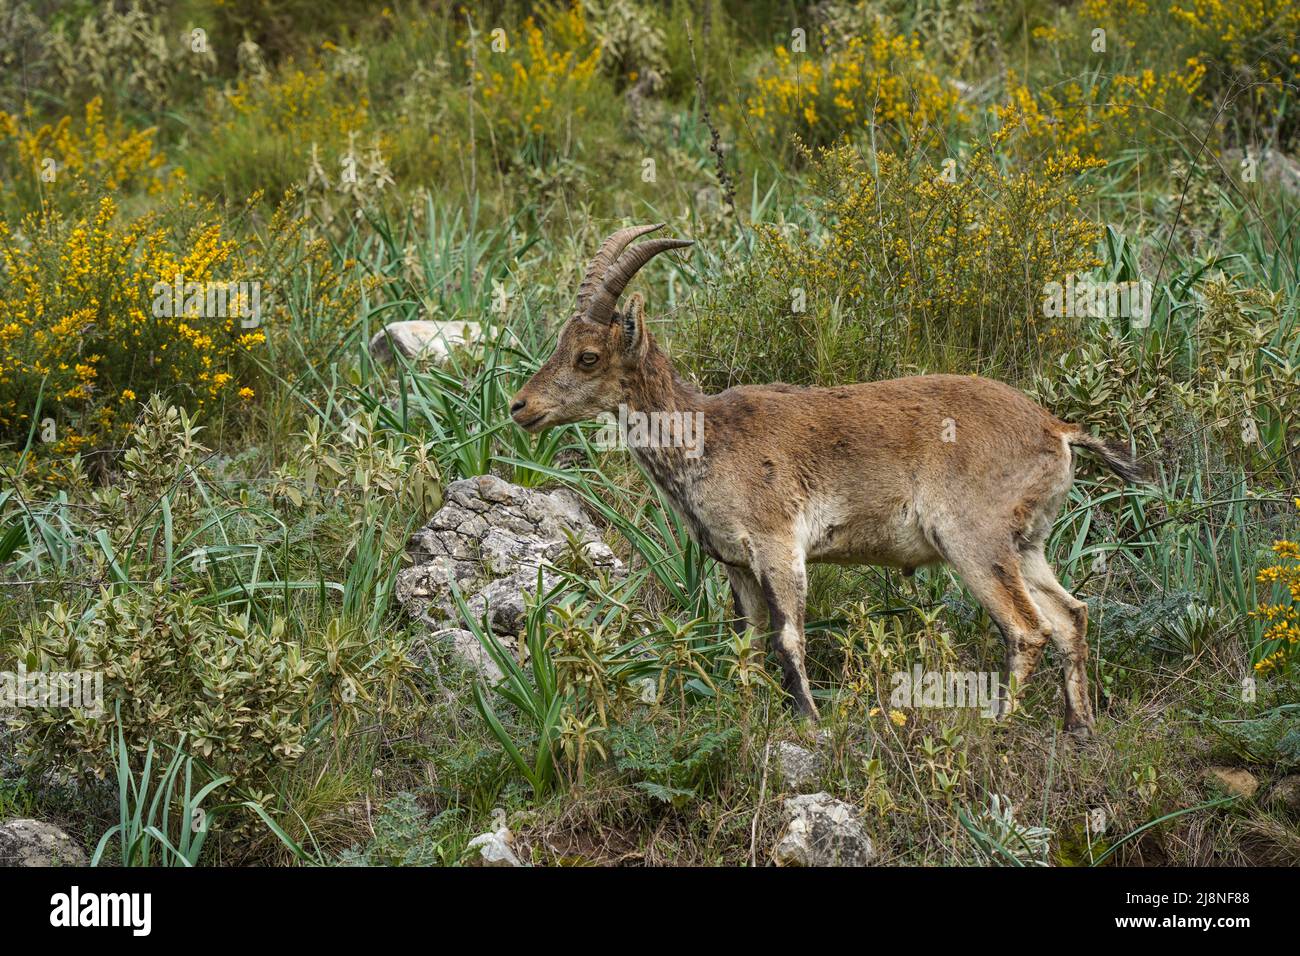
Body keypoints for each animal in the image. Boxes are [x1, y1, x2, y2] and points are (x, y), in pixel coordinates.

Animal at [512, 223, 1144, 733]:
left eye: (589, 356)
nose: (520, 406)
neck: (706, 438)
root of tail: (1056, 429)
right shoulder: (737, 565)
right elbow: (746, 644)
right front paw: (747, 713)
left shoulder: (777, 545)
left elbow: (788, 636)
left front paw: (810, 720)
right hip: (1027, 544)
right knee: (1070, 616)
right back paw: (1079, 727)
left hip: (974, 539)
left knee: (1027, 629)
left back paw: (1000, 725)